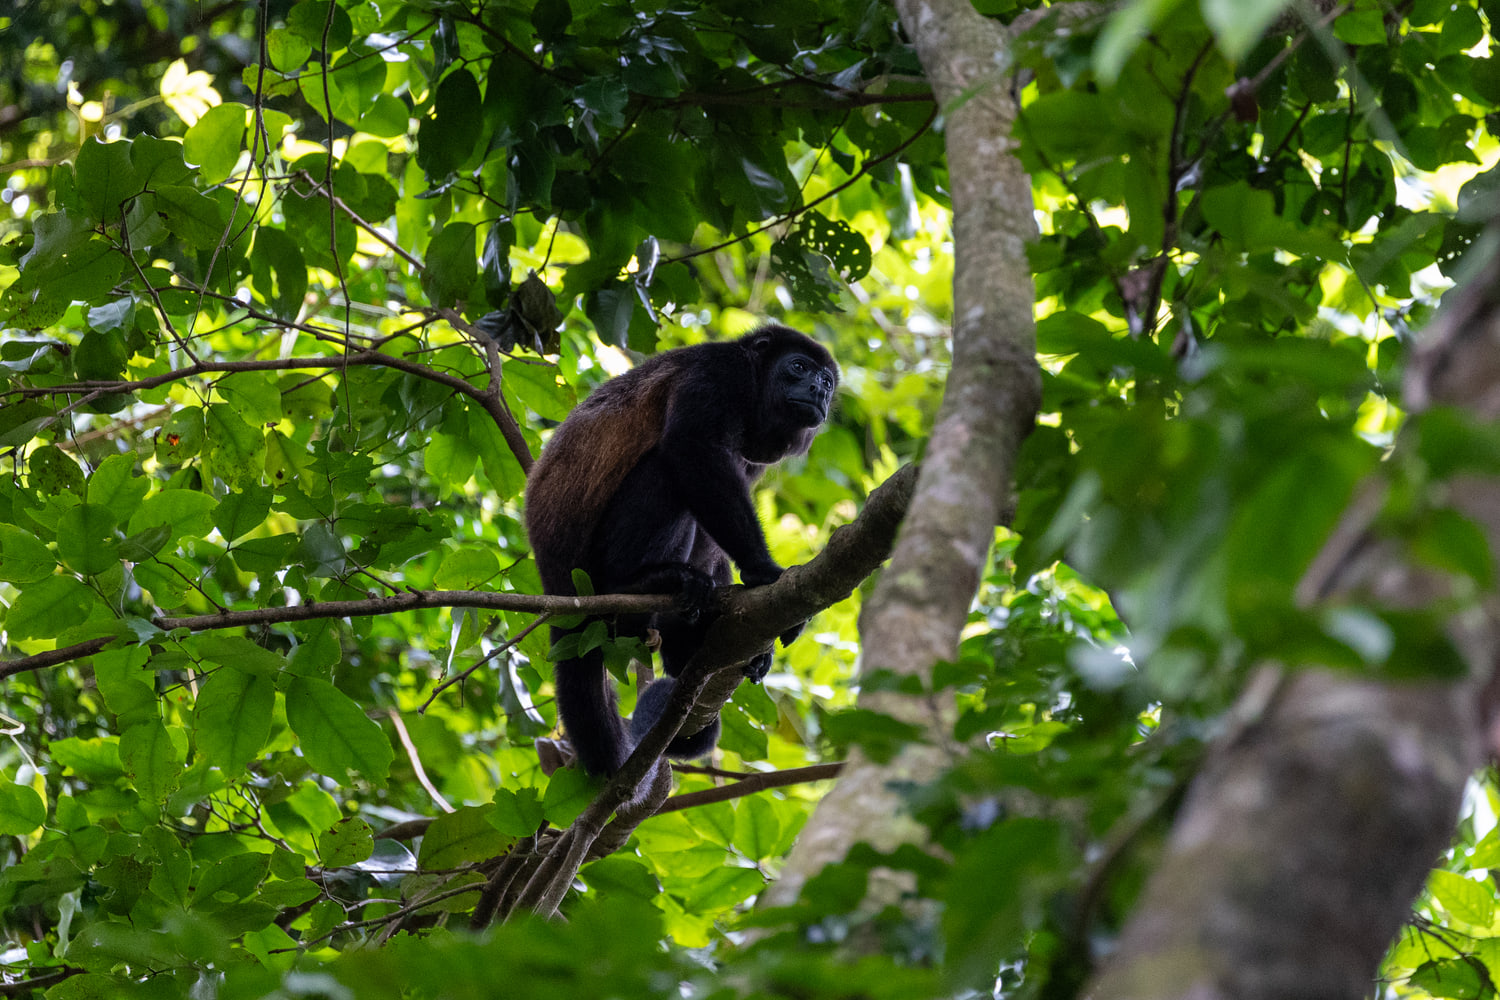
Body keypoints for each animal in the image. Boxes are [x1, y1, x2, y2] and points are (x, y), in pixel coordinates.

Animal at [524, 325, 838, 776]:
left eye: (827, 382)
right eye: (798, 367)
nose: (818, 390)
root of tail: (557, 588)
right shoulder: (718, 375)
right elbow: (694, 449)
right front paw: (764, 571)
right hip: (591, 572)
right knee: (665, 465)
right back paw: (645, 583)